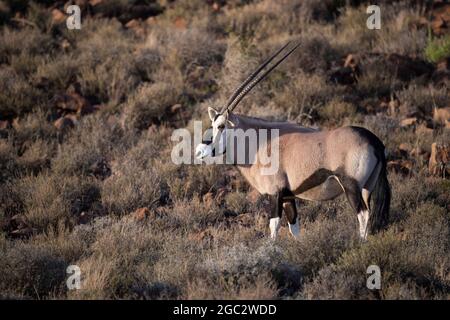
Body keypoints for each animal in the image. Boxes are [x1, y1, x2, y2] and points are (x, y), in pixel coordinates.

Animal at [196, 40, 390, 240]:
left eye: (221, 126)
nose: (199, 151)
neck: (259, 143)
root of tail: (374, 141)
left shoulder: (275, 194)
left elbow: (274, 227)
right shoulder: (289, 197)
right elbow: (294, 228)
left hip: (351, 186)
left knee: (363, 214)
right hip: (367, 187)